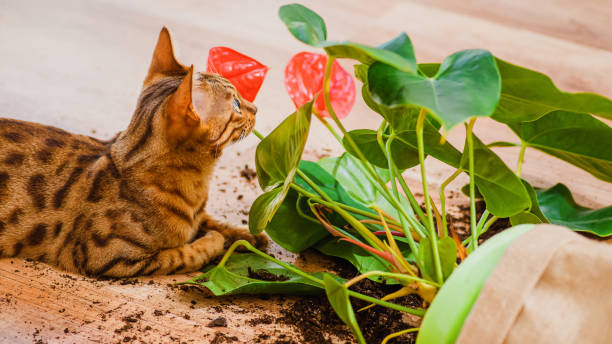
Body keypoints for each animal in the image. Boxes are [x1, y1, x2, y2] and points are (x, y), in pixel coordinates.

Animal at [0, 28, 268, 278]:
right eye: (236, 104)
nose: (256, 108)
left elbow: (210, 221)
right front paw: (214, 241)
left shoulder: (199, 214)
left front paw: (249, 236)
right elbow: (185, 253)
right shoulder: (109, 258)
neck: (197, 187)